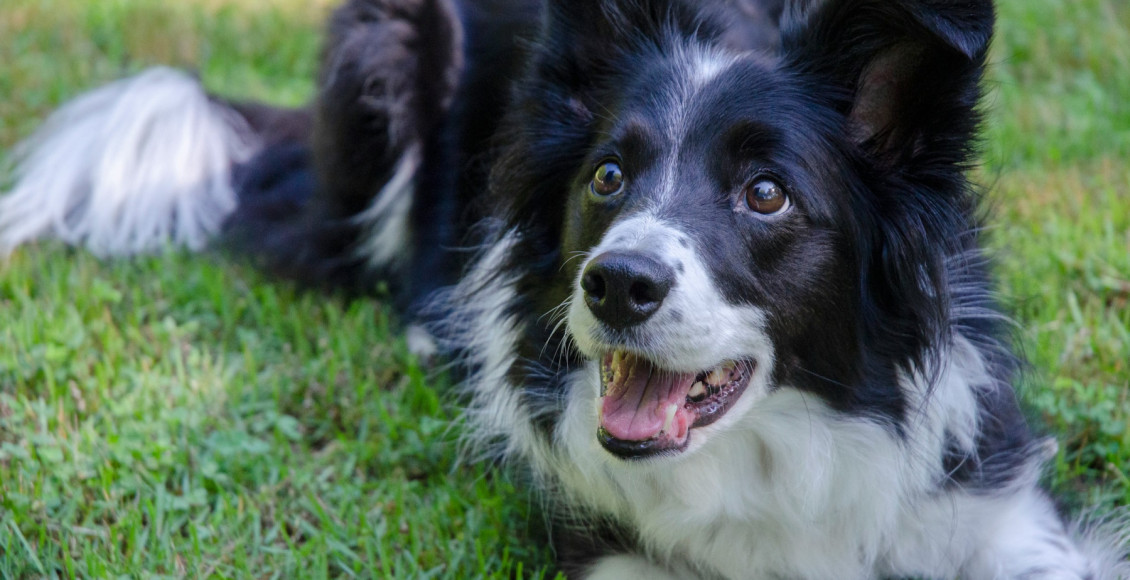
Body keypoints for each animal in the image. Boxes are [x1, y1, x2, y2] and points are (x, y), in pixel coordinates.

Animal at [2, 0, 1130, 574]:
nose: (617, 284)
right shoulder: (606, 540)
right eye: (607, 177)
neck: (778, 453)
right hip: (387, 51)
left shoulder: (985, 504)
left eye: (766, 193)